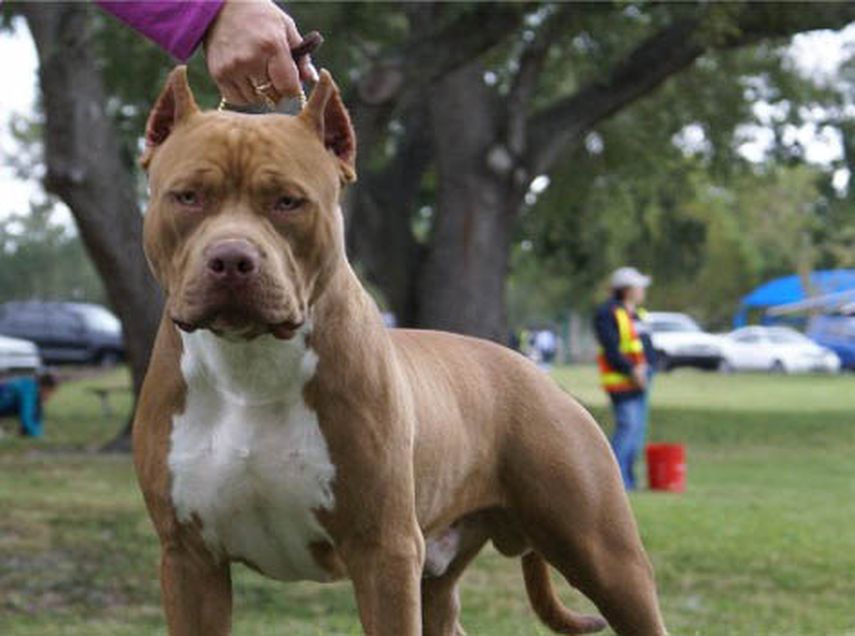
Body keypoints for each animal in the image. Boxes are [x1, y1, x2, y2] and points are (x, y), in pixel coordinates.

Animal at [134, 67, 668, 632]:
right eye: (188, 196)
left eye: (287, 201)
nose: (233, 260)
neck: (249, 367)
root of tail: (538, 373)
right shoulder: (189, 559)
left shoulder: (383, 550)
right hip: (441, 573)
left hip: (607, 557)